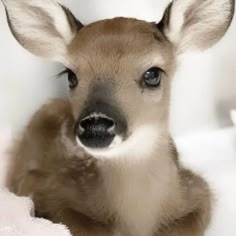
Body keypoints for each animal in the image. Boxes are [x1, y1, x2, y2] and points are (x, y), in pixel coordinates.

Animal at [1, 0, 234, 235]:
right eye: (71, 76)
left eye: (153, 74)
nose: (96, 126)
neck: (137, 219)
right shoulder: (43, 187)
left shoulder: (197, 187)